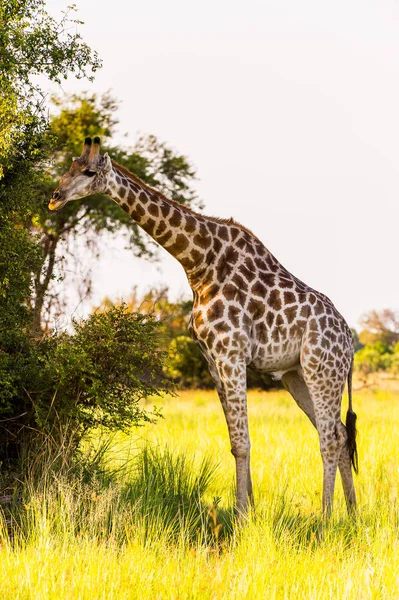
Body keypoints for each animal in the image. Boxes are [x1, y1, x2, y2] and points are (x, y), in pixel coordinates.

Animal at [50, 136, 360, 516]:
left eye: (90, 172)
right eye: (70, 166)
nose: (55, 197)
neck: (198, 263)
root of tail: (349, 342)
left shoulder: (231, 354)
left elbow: (242, 441)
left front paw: (242, 517)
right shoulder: (212, 359)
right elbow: (234, 441)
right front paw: (248, 511)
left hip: (321, 370)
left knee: (329, 437)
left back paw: (325, 519)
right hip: (296, 375)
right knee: (340, 433)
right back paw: (352, 515)